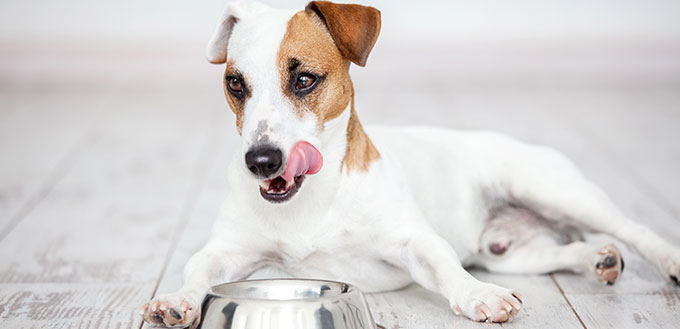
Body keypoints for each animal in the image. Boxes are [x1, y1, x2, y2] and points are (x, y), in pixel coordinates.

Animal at [139, 0, 680, 326]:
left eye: (304, 80)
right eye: (236, 84)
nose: (261, 160)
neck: (314, 199)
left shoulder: (413, 240)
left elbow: (442, 264)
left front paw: (478, 296)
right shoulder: (228, 250)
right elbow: (199, 265)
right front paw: (177, 298)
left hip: (551, 188)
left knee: (631, 228)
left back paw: (666, 259)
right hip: (507, 253)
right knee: (563, 251)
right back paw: (596, 258)